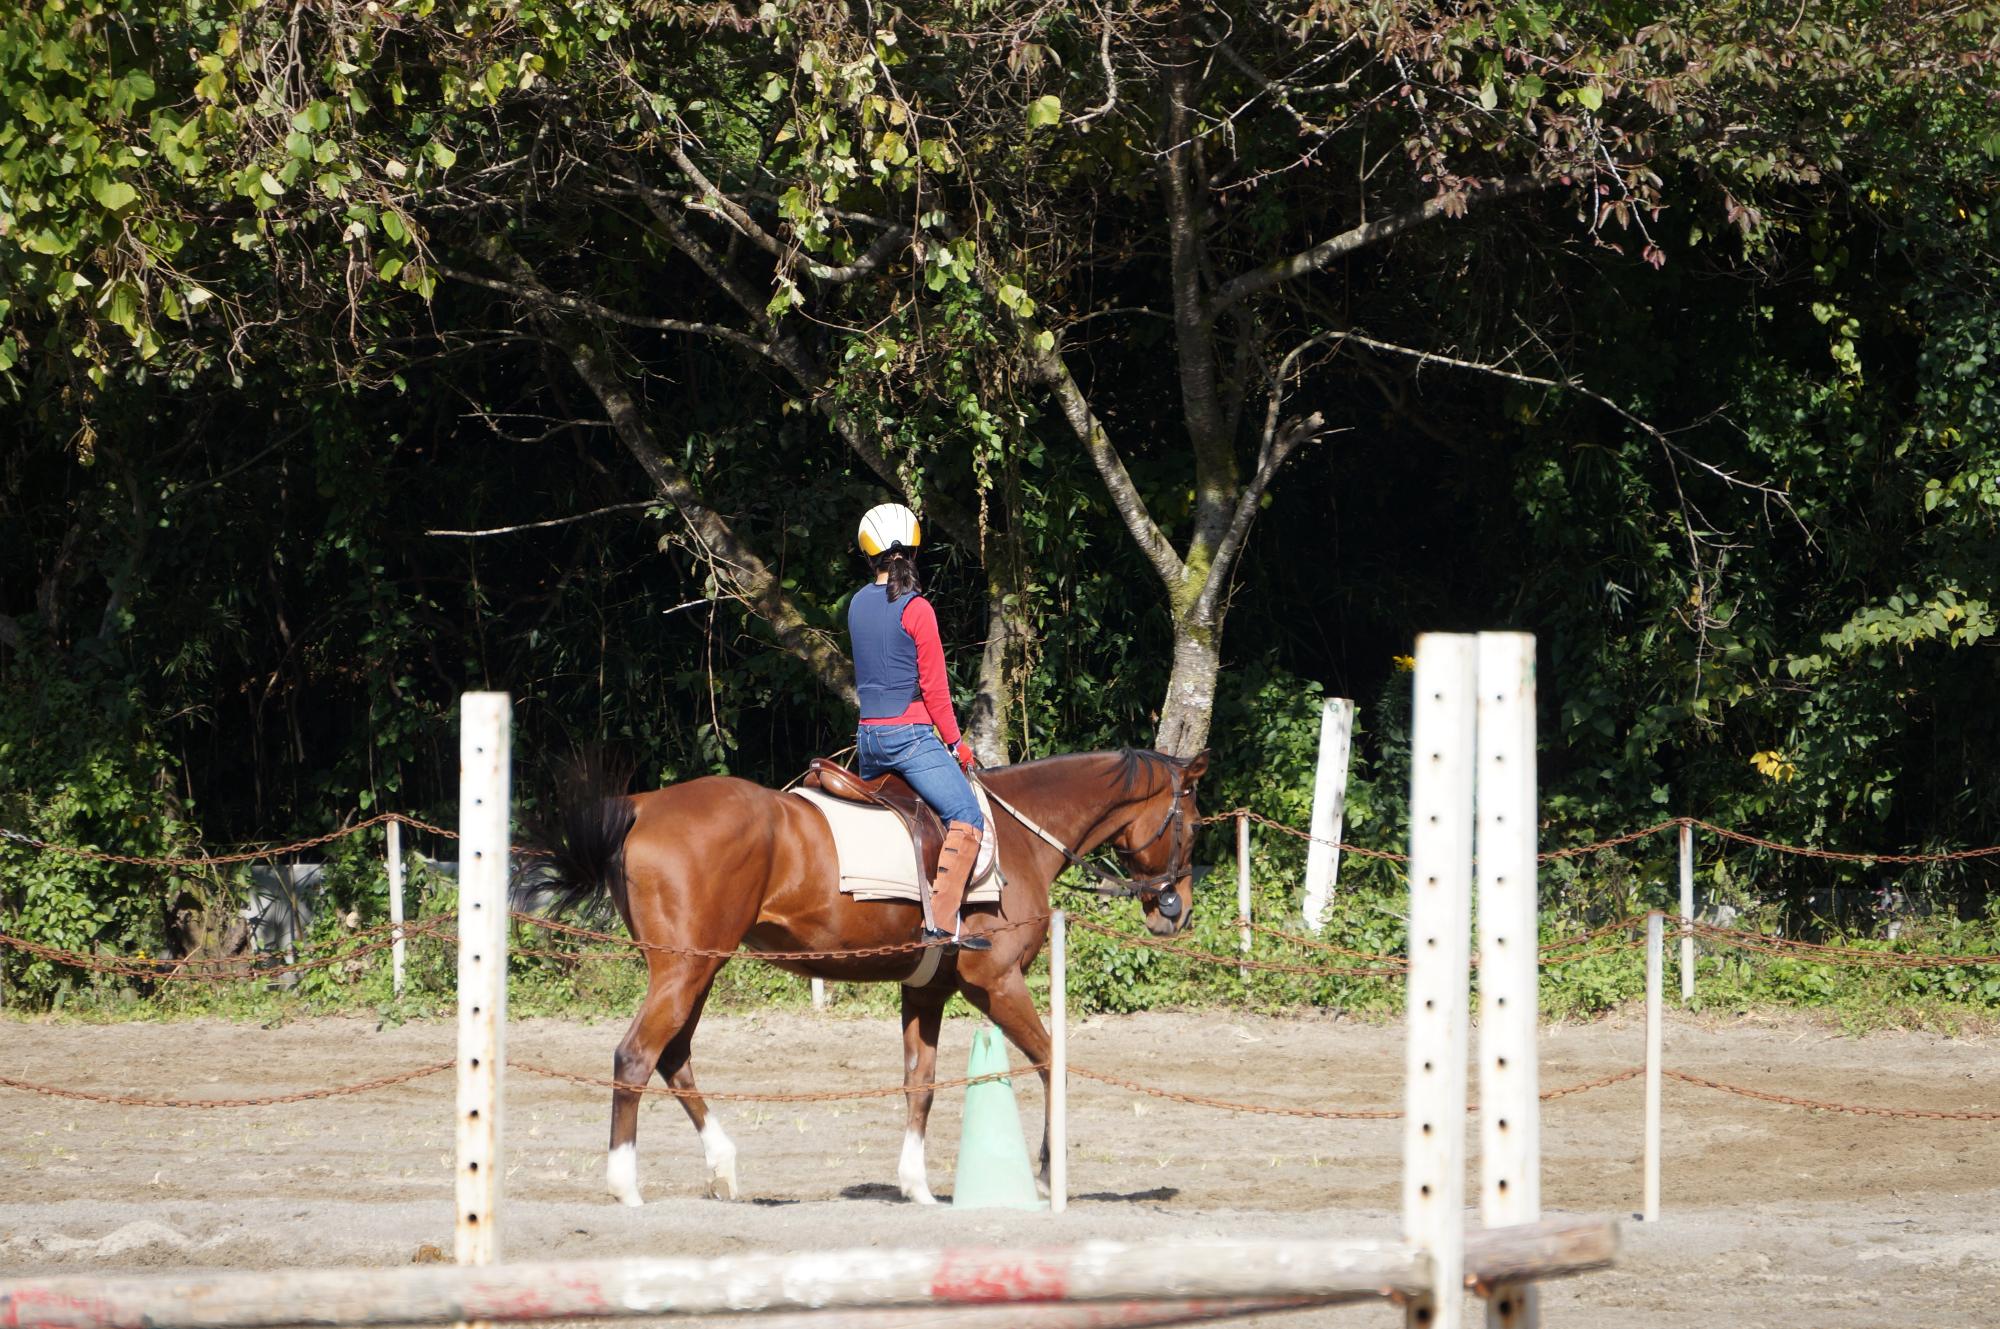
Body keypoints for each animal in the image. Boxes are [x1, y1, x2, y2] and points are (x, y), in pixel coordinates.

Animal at [544, 746, 1209, 1207]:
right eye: (1193, 823)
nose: (1174, 911)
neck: (1021, 835)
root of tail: (643, 805)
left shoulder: (926, 989)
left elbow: (921, 1082)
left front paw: (916, 1186)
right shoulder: (996, 984)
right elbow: (1053, 1064)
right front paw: (1049, 1177)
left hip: (697, 968)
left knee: (673, 1055)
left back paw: (722, 1168)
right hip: (685, 967)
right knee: (636, 1055)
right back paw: (626, 1186)